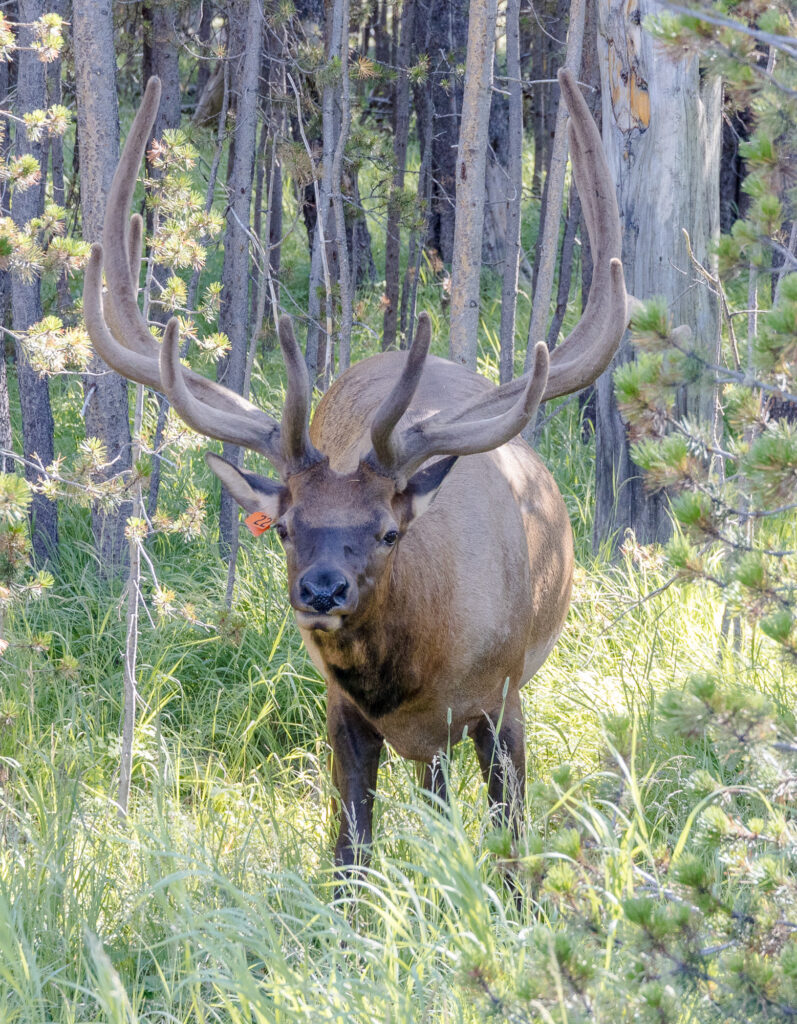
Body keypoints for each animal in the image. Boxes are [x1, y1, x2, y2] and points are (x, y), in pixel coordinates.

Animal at [83, 69, 628, 879]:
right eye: (283, 527)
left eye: (387, 532)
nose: (321, 590)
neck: (420, 668)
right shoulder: (344, 712)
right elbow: (349, 856)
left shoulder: (503, 700)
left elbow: (511, 845)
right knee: (429, 795)